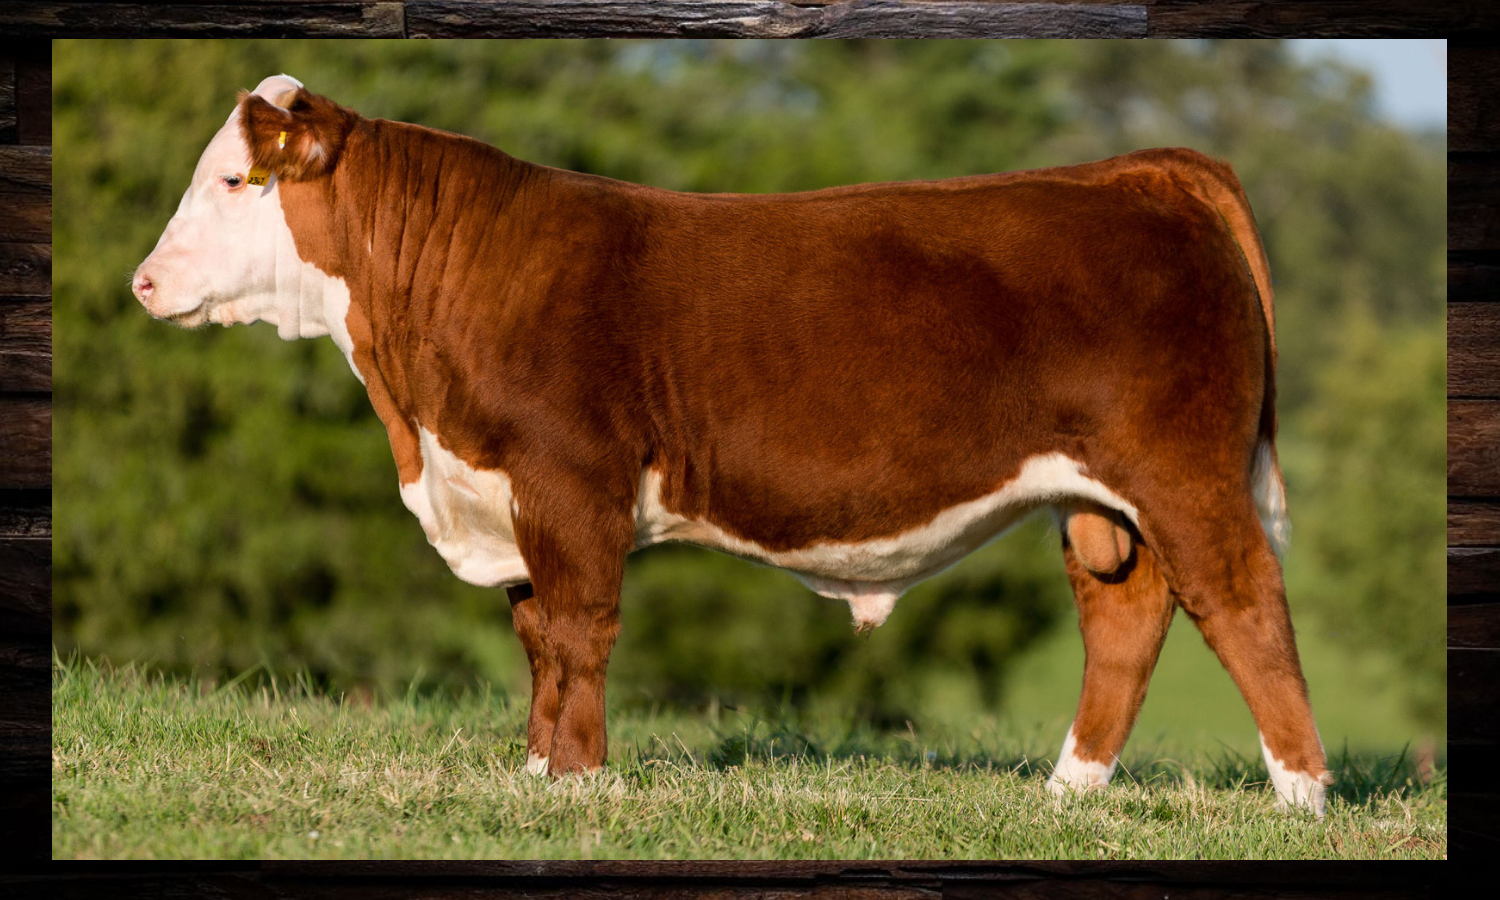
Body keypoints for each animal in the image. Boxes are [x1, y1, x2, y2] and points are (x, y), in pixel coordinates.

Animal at [132, 75, 1332, 815]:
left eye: (234, 181)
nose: (143, 283)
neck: (418, 420)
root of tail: (1139, 171)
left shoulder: (570, 484)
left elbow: (579, 634)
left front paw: (580, 783)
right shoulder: (506, 496)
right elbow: (536, 642)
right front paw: (535, 775)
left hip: (1183, 472)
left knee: (1244, 602)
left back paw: (1301, 796)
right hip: (1097, 500)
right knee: (1125, 616)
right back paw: (1068, 792)